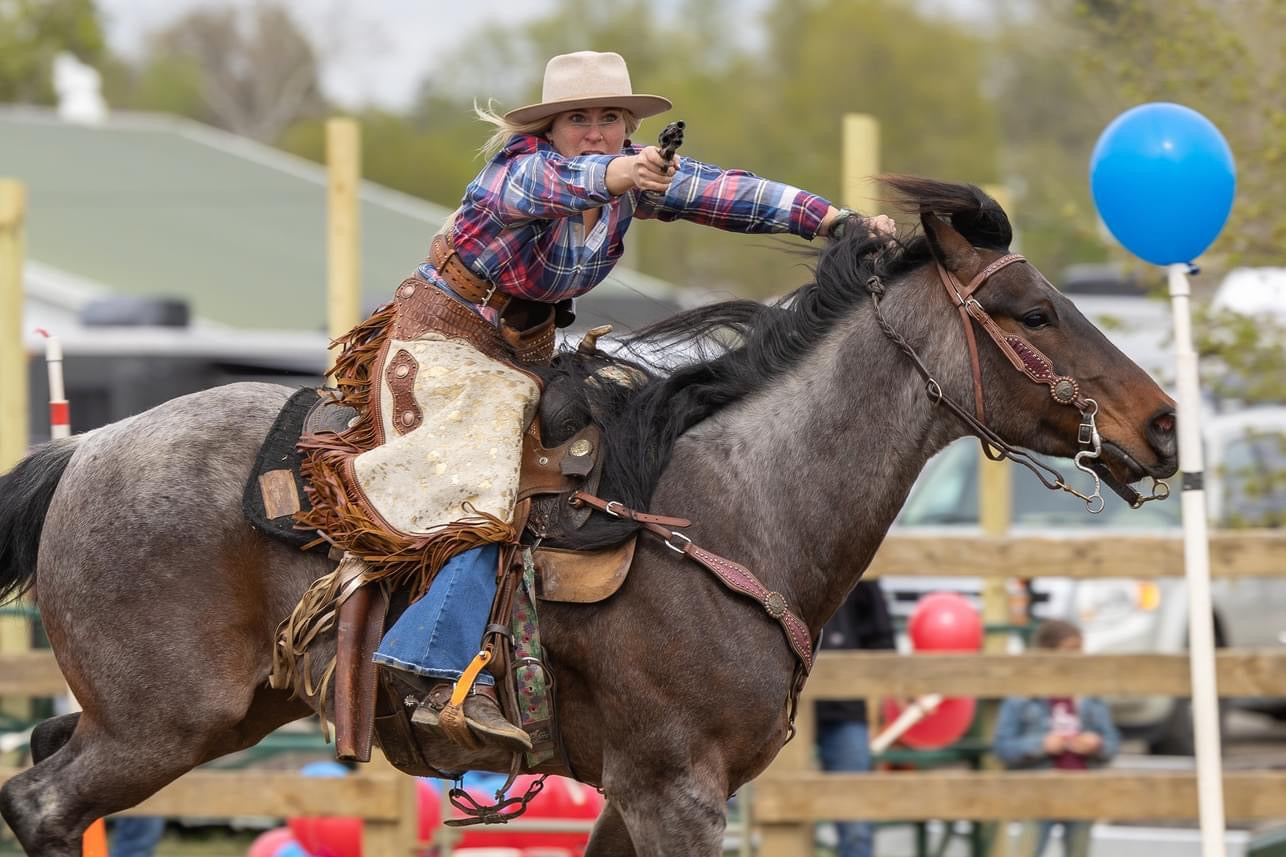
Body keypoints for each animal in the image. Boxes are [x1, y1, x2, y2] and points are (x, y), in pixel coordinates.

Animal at [0, 176, 1177, 849]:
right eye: (1032, 311)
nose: (1162, 424)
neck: (736, 506)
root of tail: (87, 447)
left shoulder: (640, 789)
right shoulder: (677, 791)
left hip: (207, 713)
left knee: (47, 760)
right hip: (166, 720)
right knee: (43, 802)